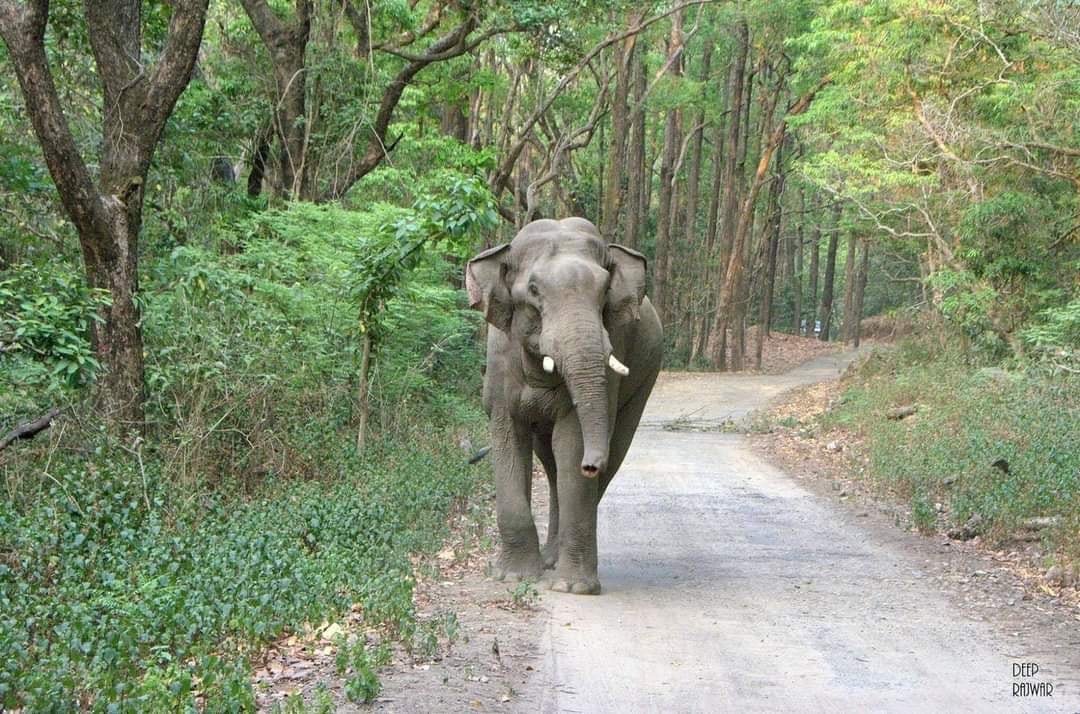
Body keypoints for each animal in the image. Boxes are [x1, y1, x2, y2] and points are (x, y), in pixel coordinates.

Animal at [465, 217, 663, 595]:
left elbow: (571, 441)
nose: (591, 464)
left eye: (604, 290)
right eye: (533, 290)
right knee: (551, 465)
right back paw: (547, 560)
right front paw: (512, 576)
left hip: (645, 380)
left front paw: (574, 588)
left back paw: (557, 561)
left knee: (601, 455)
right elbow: (509, 437)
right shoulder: (499, 364)